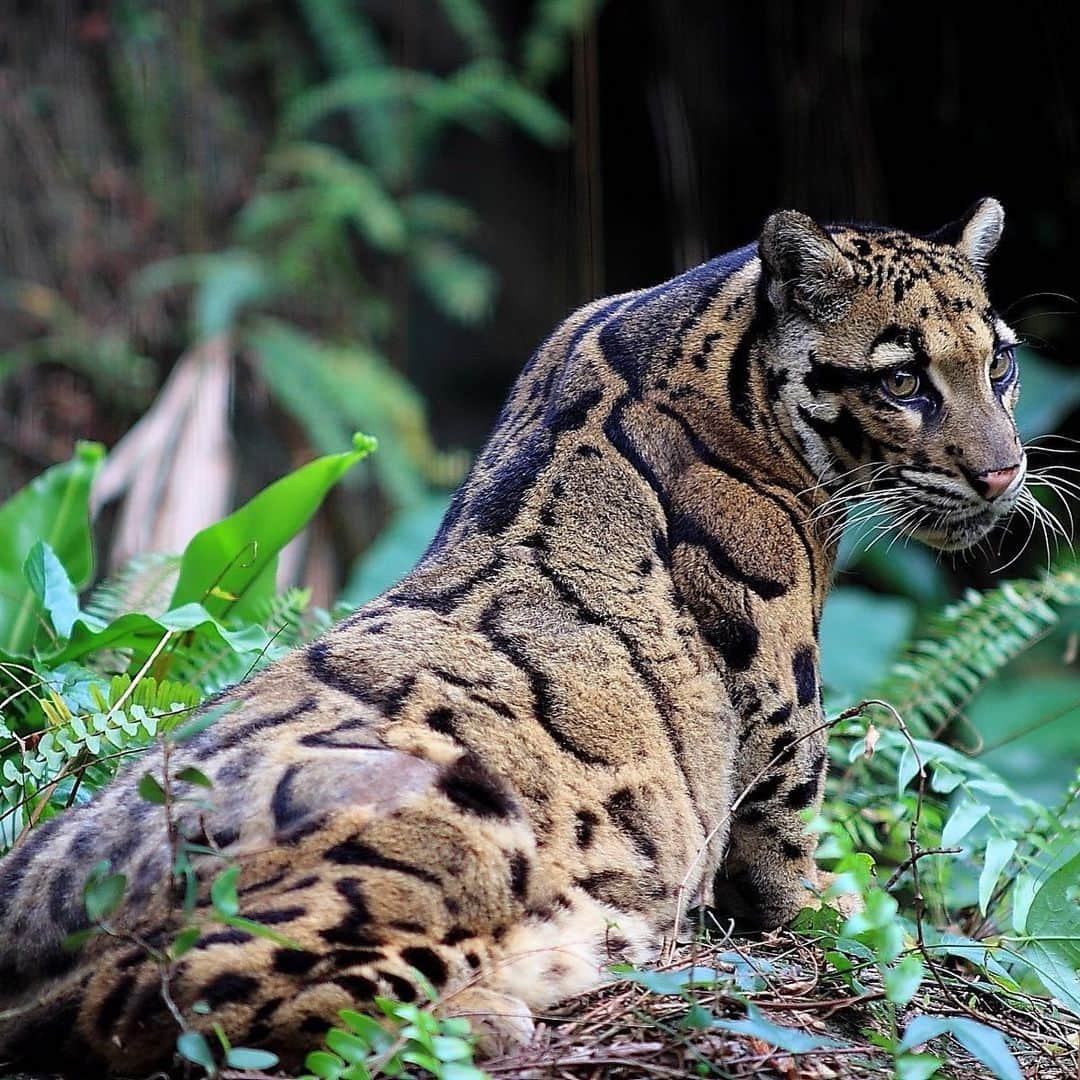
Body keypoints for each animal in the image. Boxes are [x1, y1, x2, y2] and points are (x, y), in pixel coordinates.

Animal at [0, 198, 1026, 1075]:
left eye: (1001, 365)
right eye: (904, 380)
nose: (1006, 470)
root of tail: (48, 931)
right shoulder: (779, 683)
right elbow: (787, 827)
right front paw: (839, 908)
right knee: (184, 998)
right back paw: (483, 1013)